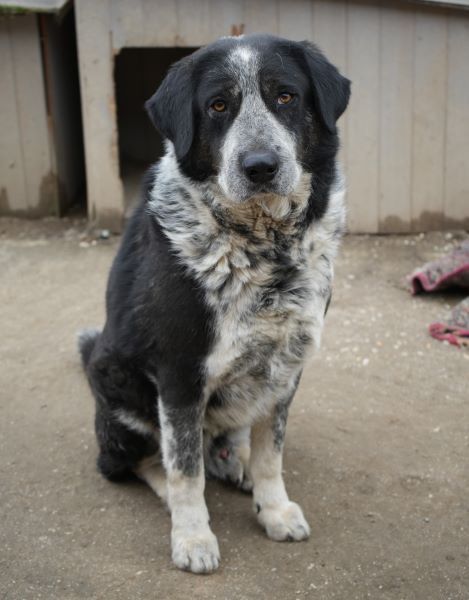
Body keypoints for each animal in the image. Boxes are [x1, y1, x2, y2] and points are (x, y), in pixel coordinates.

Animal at [79, 33, 350, 574]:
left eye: (285, 96)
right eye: (218, 106)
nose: (260, 166)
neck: (264, 246)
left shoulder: (288, 364)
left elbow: (271, 454)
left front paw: (274, 509)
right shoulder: (180, 372)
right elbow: (185, 471)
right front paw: (192, 537)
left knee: (229, 437)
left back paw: (233, 461)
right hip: (118, 384)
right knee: (140, 461)